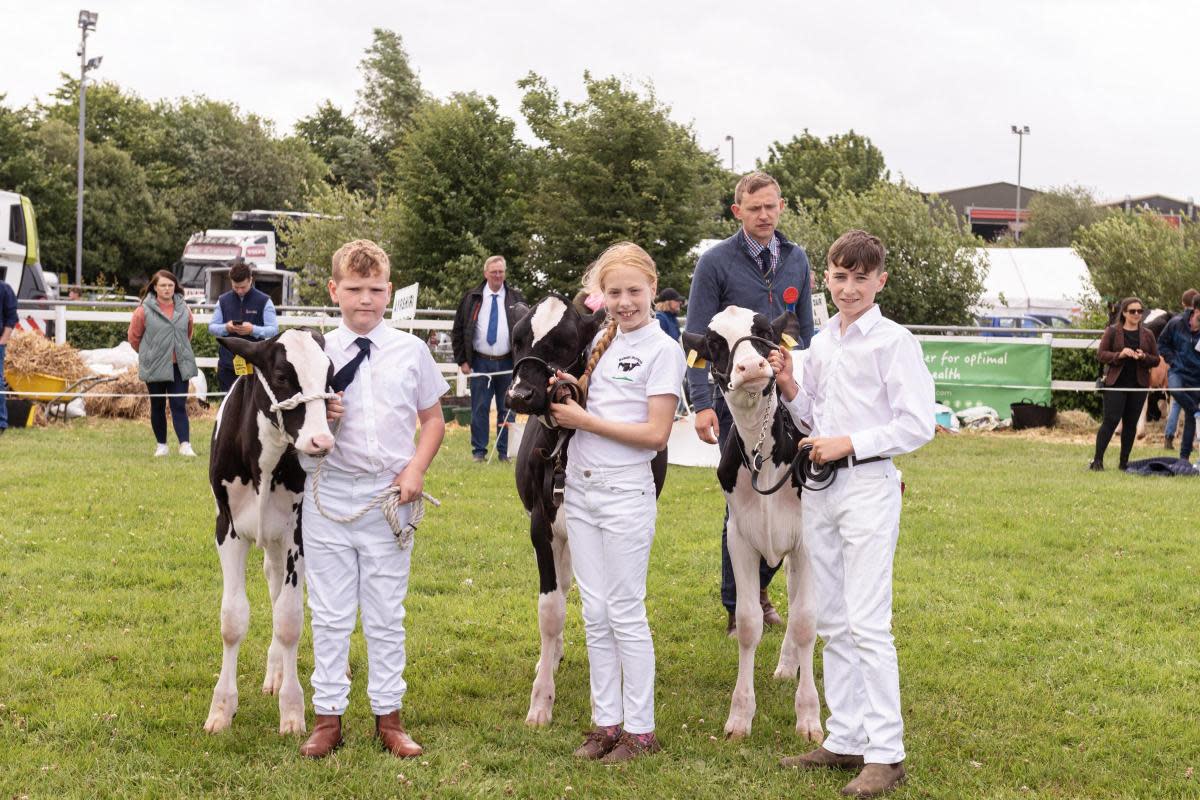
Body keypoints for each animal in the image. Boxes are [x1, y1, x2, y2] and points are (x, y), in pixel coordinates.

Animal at [201, 328, 333, 734]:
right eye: (280, 376)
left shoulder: (297, 533)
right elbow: (232, 619)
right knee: (273, 583)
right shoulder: (227, 528)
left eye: (329, 375)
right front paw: (221, 708)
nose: (322, 442)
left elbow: (289, 619)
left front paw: (292, 710)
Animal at [686, 304, 825, 738]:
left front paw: (809, 716)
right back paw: (786, 665)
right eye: (715, 343)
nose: (750, 367)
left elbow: (805, 622)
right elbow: (749, 624)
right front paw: (740, 716)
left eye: (763, 332)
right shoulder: (740, 539)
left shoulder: (807, 541)